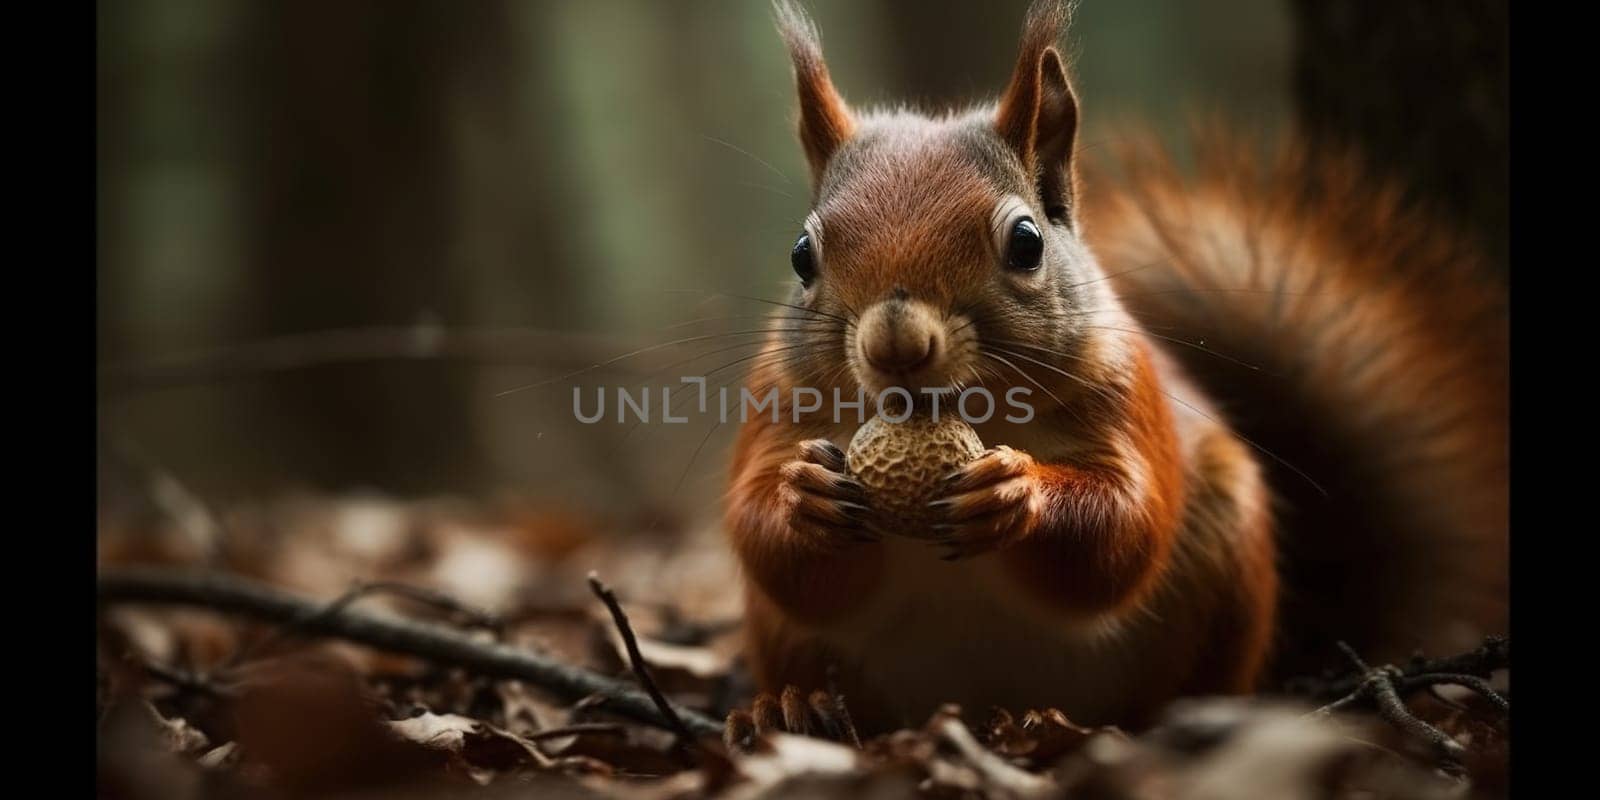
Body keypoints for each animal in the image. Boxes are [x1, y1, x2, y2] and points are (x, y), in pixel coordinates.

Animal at [720, 1, 1504, 736]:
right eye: (801, 255)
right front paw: (805, 495)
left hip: (1226, 551)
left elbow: (1122, 529)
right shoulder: (777, 405)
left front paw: (1017, 492)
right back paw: (789, 709)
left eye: (1027, 242)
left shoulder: (1127, 396)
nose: (895, 345)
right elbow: (764, 539)